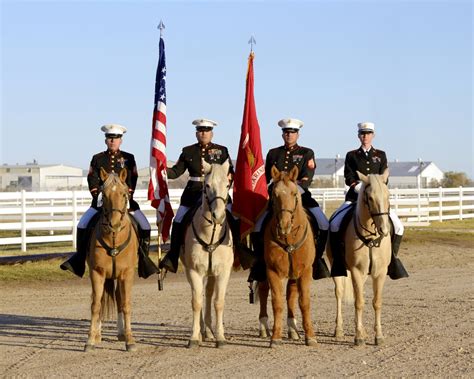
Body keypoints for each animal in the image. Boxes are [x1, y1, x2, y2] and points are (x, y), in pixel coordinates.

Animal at [84, 169, 139, 354]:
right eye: (104, 194)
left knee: (119, 298)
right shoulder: (97, 273)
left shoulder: (127, 274)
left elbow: (126, 304)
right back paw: (97, 334)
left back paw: (121, 333)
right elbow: (95, 305)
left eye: (123, 194)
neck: (114, 239)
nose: (114, 224)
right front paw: (90, 340)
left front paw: (130, 340)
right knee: (100, 300)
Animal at [181, 159, 233, 348]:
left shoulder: (223, 272)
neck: (210, 234)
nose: (218, 215)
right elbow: (196, 302)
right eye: (208, 185)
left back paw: (209, 332)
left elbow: (218, 302)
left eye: (227, 184)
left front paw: (220, 337)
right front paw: (194, 337)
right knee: (200, 296)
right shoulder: (194, 271)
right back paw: (203, 331)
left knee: (209, 295)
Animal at [264, 166, 316, 348]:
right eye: (275, 194)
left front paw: (310, 336)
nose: (284, 225)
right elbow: (277, 303)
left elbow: (304, 302)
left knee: (292, 296)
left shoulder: (305, 272)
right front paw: (275, 337)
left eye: (294, 194)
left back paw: (293, 329)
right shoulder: (272, 272)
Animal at [328, 169, 390, 348]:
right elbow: (359, 302)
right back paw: (339, 330)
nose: (384, 229)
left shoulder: (380, 273)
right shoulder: (355, 270)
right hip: (338, 269)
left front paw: (378, 336)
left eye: (388, 195)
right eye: (370, 198)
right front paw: (358, 338)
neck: (371, 238)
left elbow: (376, 302)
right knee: (339, 293)